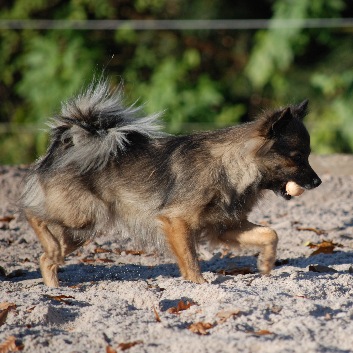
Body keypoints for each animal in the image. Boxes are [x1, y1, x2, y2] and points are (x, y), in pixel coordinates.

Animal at [20, 79, 320, 286]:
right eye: (298, 157)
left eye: (307, 156)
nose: (317, 182)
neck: (232, 167)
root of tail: (66, 144)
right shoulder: (178, 222)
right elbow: (191, 260)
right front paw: (198, 285)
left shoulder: (225, 226)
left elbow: (271, 233)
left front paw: (266, 265)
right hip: (82, 216)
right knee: (32, 214)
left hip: (80, 230)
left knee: (47, 258)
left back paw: (54, 285)